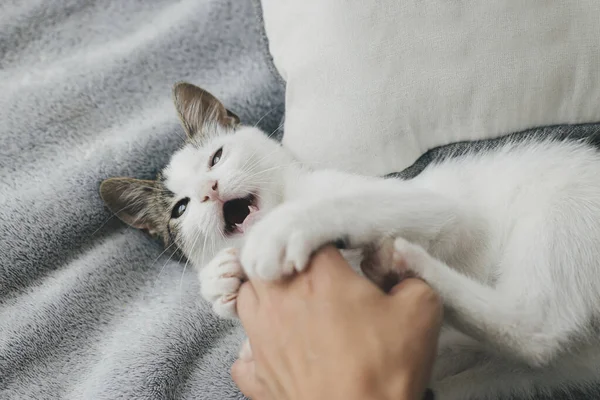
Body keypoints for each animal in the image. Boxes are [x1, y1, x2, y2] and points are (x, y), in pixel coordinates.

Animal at [101, 83, 600, 398]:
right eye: (181, 209)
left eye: (217, 156)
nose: (209, 191)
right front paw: (219, 281)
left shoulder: (441, 207)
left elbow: (364, 204)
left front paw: (286, 229)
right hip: (530, 376)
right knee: (527, 357)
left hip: (567, 200)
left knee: (537, 326)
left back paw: (405, 260)